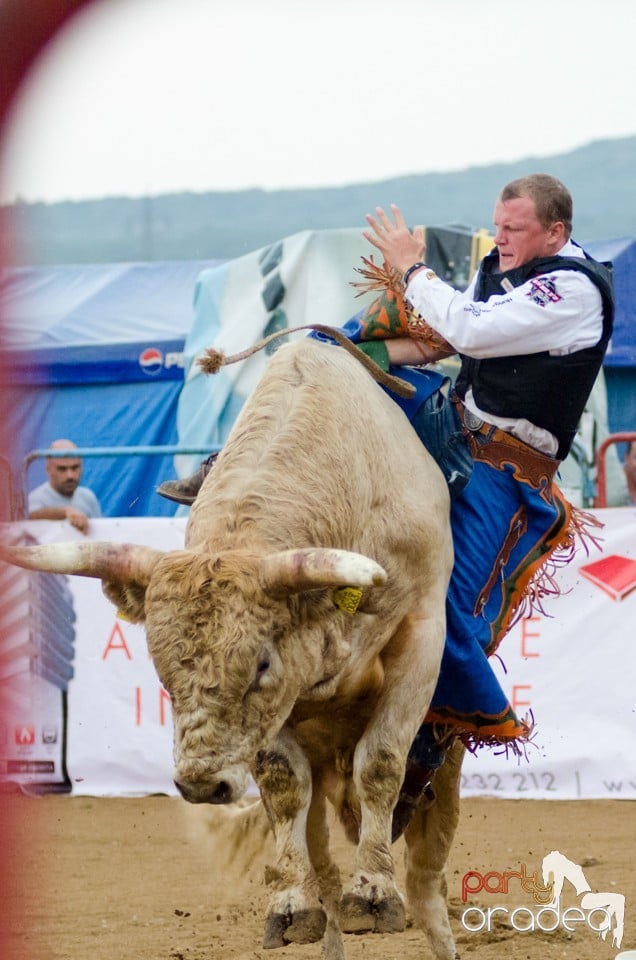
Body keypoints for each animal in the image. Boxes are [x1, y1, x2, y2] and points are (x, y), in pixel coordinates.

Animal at [0, 338, 458, 960]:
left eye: (260, 662)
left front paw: (372, 892)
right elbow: (284, 785)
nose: (200, 784)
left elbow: (381, 763)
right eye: (162, 671)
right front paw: (292, 905)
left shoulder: (421, 634)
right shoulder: (281, 711)